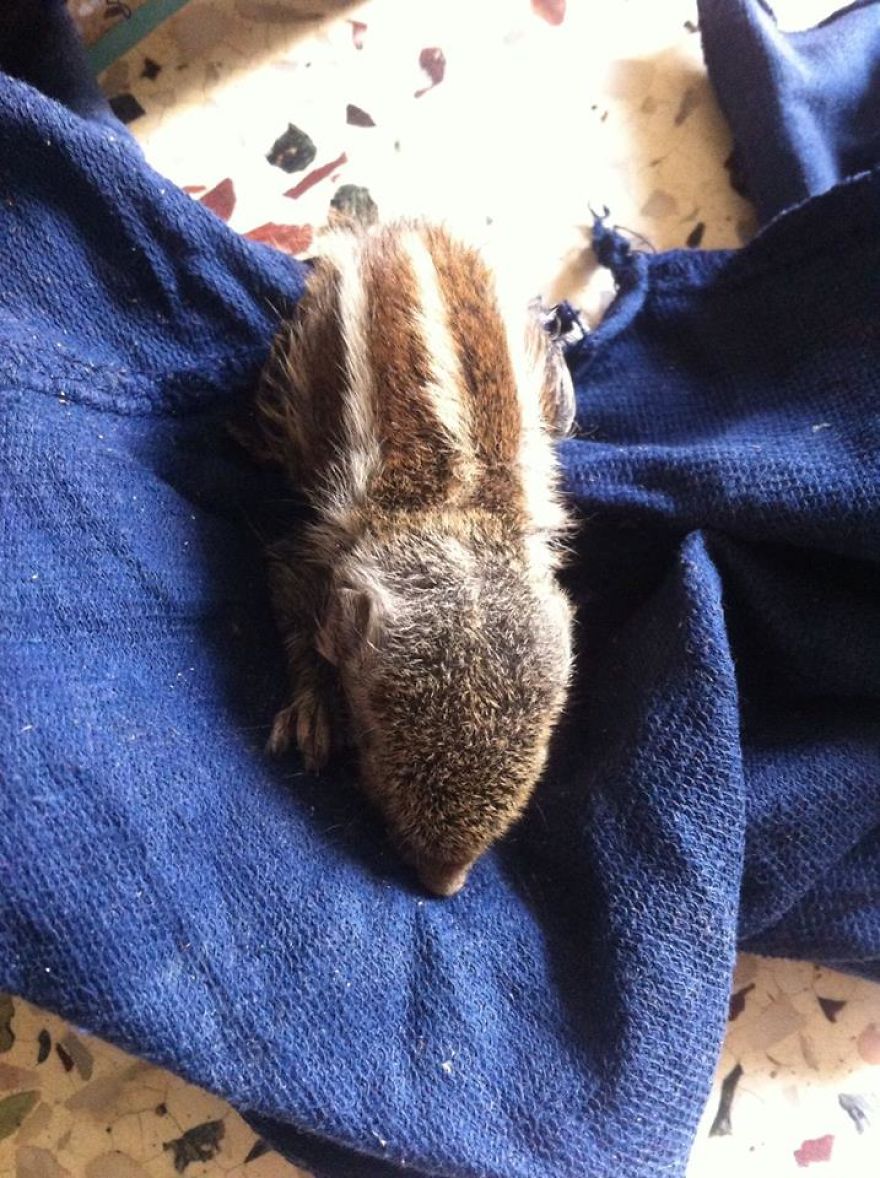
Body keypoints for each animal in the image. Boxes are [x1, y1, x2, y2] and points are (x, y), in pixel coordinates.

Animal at [237, 219, 576, 896]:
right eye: (368, 733)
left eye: (547, 738)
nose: (443, 884)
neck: (452, 511)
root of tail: (407, 229)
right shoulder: (314, 552)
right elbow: (292, 601)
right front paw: (315, 711)